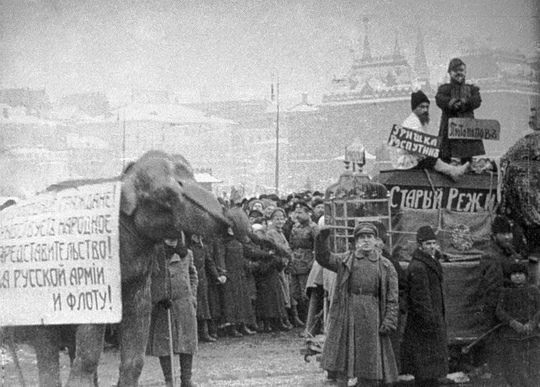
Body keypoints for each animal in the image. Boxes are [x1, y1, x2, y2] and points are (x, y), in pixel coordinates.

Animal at [25, 150, 230, 386]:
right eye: (166, 195)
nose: (229, 224)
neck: (123, 178)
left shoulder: (138, 271)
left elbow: (139, 316)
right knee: (48, 344)